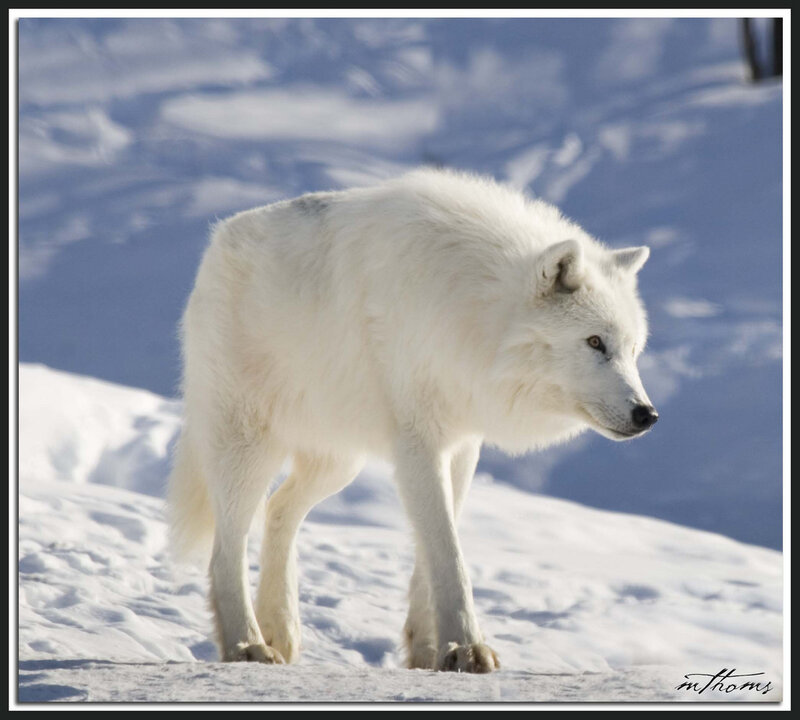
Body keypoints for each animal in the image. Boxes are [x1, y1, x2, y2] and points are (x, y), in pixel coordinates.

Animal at [168, 168, 657, 673]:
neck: (473, 308)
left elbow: (436, 546)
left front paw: (429, 651)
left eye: (633, 350)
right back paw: (246, 645)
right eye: (595, 342)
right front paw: (467, 648)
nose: (647, 415)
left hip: (338, 462)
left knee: (279, 511)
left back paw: (281, 633)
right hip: (246, 448)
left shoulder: (461, 447)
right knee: (227, 547)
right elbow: (448, 553)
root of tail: (217, 241)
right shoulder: (419, 444)